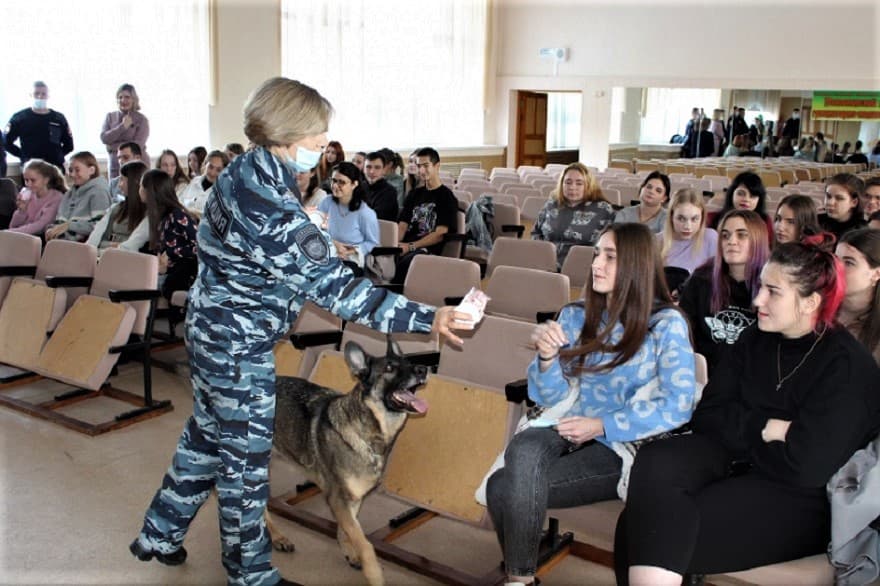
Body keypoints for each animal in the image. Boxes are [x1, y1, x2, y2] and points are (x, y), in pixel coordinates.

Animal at [272, 338, 430, 584]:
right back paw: (277, 537)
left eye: (408, 362)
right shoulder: (338, 499)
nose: (423, 369)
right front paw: (373, 573)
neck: (367, 431)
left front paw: (350, 553)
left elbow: (348, 531)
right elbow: (365, 544)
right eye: (389, 368)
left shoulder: (351, 500)